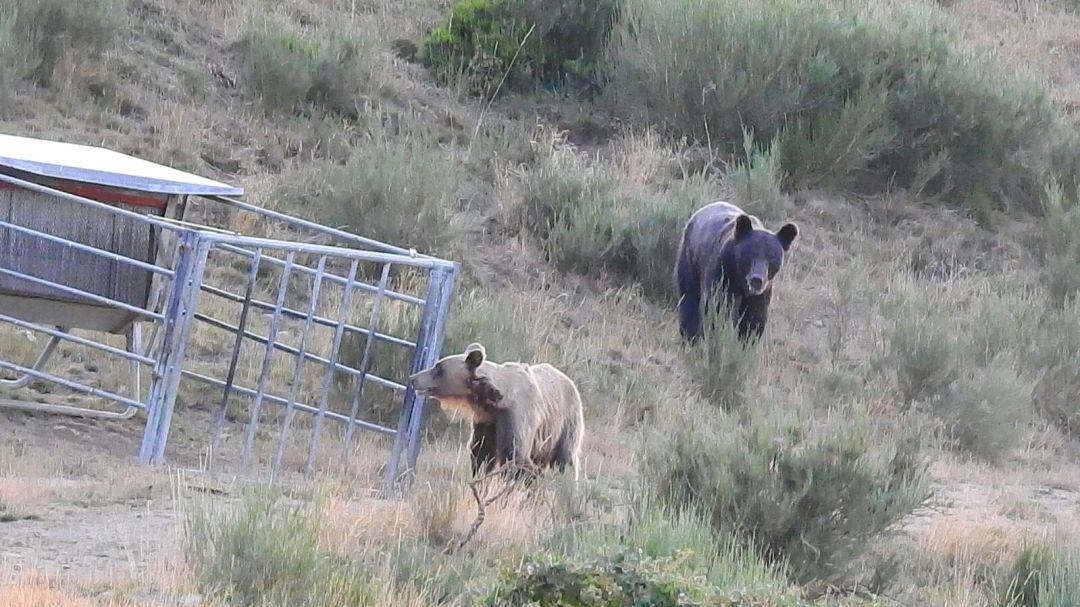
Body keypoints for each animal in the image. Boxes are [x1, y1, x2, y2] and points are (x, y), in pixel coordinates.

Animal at [408, 345, 587, 477]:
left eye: (438, 368)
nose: (413, 378)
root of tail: (570, 381)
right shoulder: (487, 421)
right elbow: (482, 451)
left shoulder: (516, 414)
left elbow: (515, 456)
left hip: (566, 422)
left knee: (565, 458)